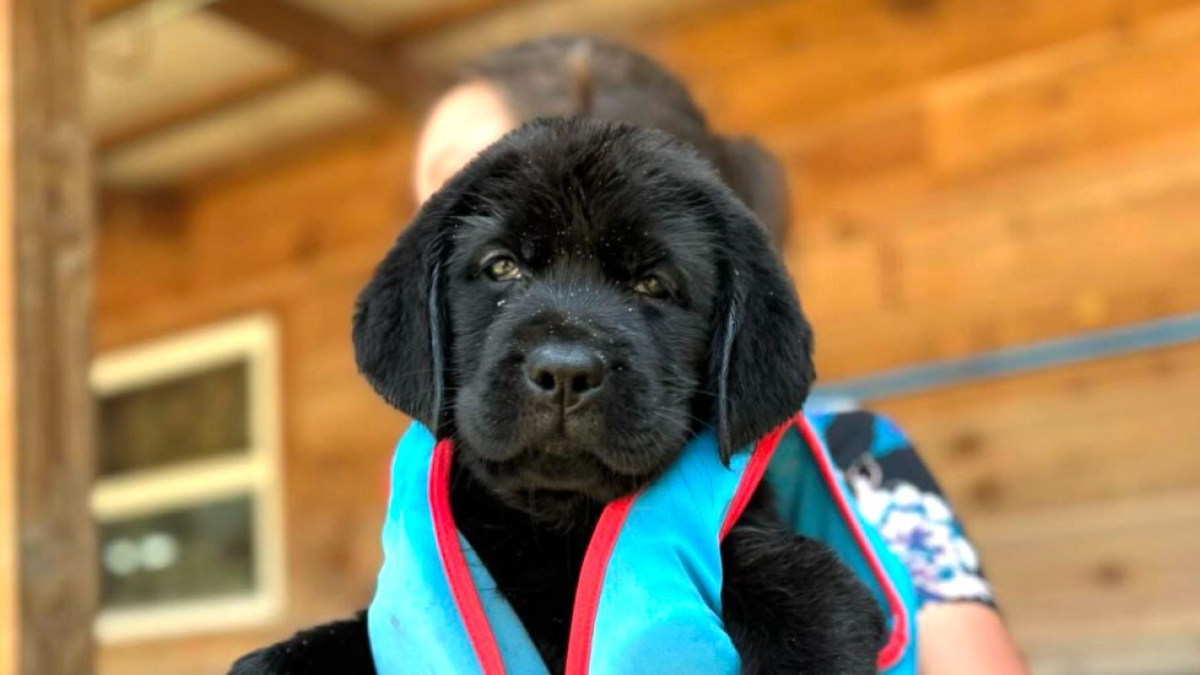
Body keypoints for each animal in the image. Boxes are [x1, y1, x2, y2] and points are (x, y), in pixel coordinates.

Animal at [234, 118, 888, 667]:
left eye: (654, 284)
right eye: (501, 267)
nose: (566, 372)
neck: (559, 530)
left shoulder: (800, 579)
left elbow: (805, 606)